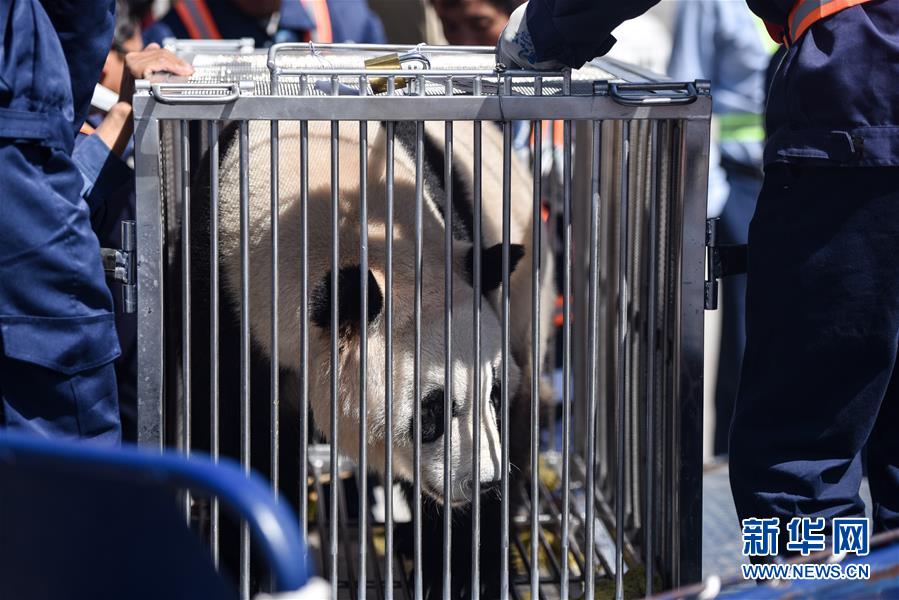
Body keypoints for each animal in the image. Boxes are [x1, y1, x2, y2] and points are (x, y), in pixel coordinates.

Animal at [192, 116, 556, 596]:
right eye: (433, 409)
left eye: (493, 393)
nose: (482, 481)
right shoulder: (227, 297)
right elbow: (242, 436)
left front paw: (462, 572)